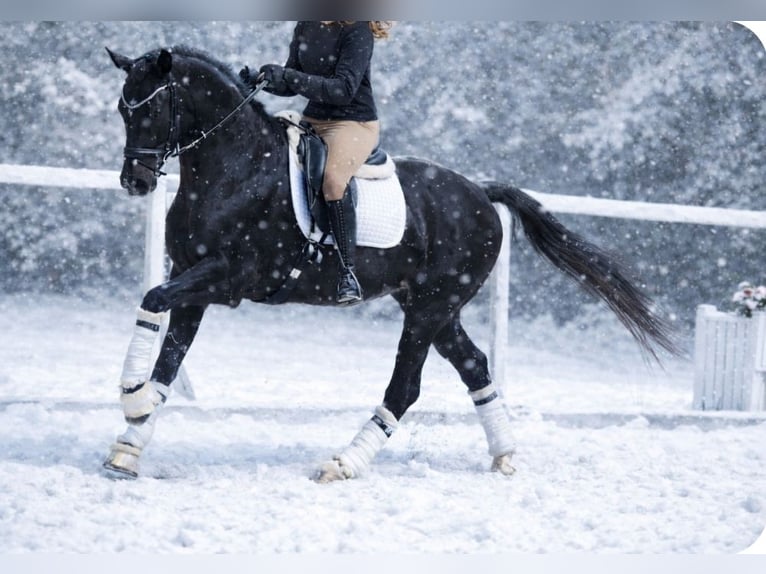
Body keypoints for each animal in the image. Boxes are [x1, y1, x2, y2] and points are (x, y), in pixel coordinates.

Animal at [102, 45, 680, 481]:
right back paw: (503, 456)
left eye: (150, 109)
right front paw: (130, 442)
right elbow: (167, 357)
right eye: (122, 110)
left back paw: (343, 464)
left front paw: (131, 399)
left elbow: (153, 304)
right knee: (475, 366)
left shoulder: (229, 280)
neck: (235, 169)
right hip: (436, 307)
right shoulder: (190, 279)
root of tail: (479, 191)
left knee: (405, 386)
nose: (136, 182)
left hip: (429, 307)